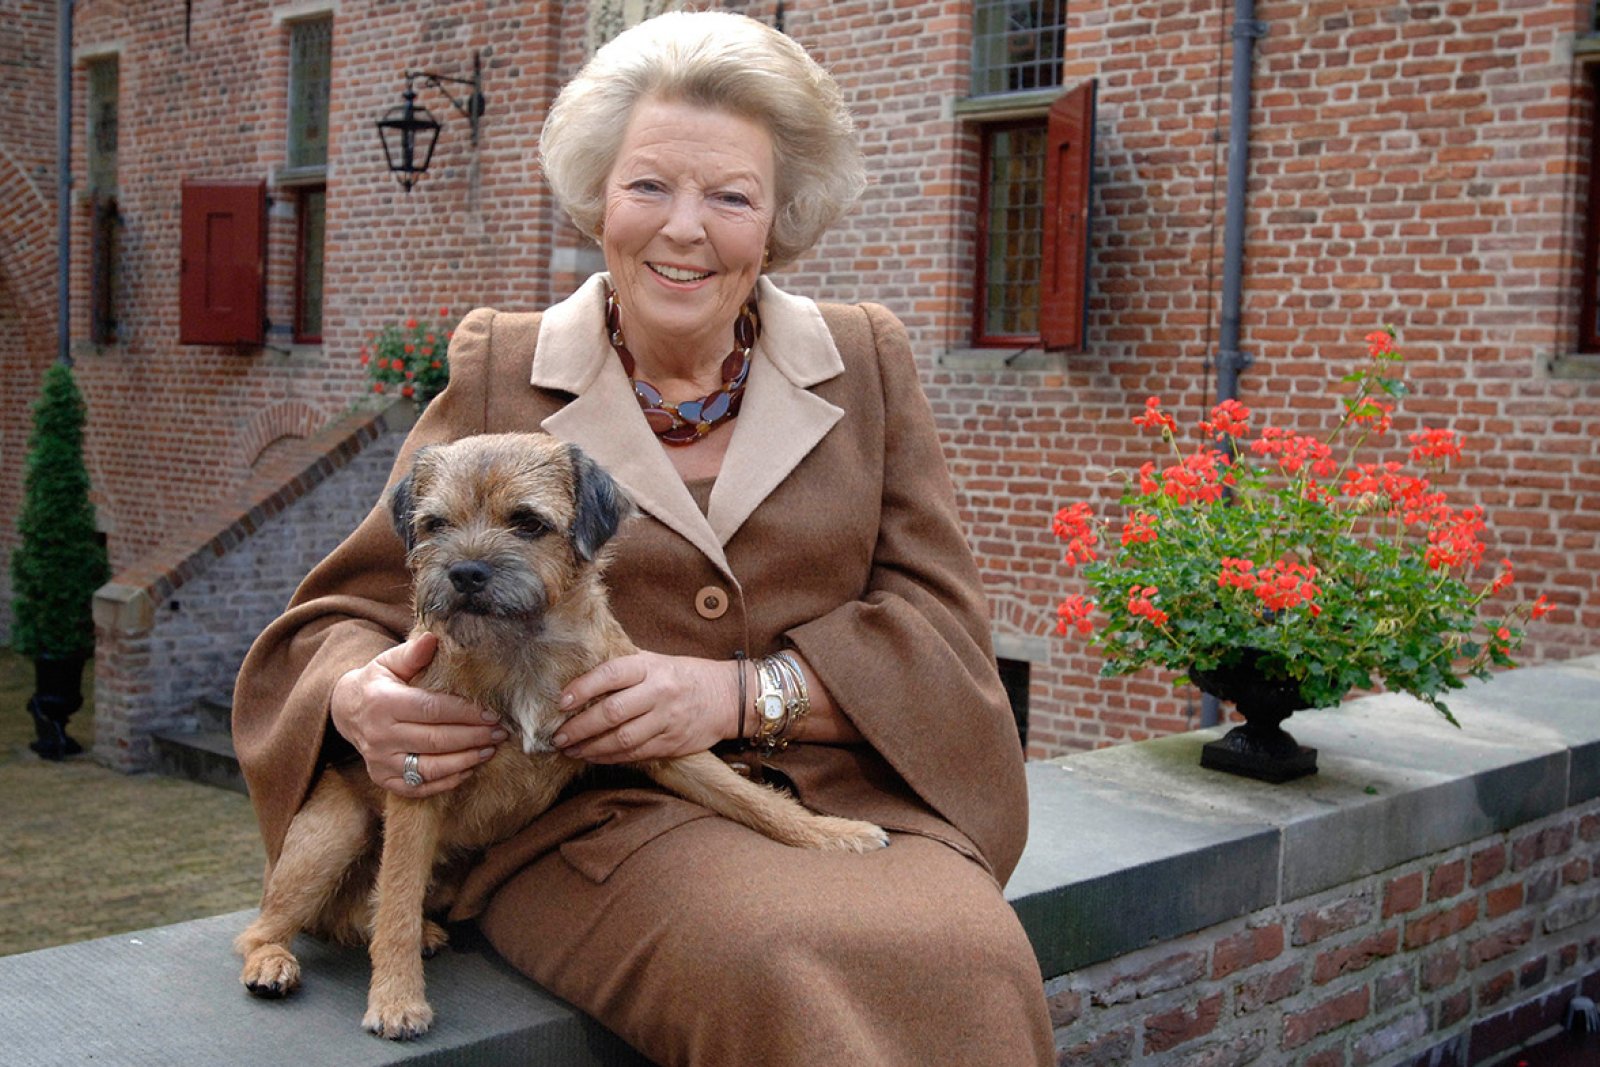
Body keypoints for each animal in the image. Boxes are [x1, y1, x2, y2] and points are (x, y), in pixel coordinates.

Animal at [233, 431, 889, 1036]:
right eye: (435, 524)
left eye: (527, 522)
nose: (464, 572)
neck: (520, 647)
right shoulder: (417, 779)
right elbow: (395, 893)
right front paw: (396, 1000)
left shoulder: (650, 731)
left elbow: (750, 797)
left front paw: (832, 833)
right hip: (332, 833)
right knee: (268, 925)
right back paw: (272, 963)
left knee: (352, 916)